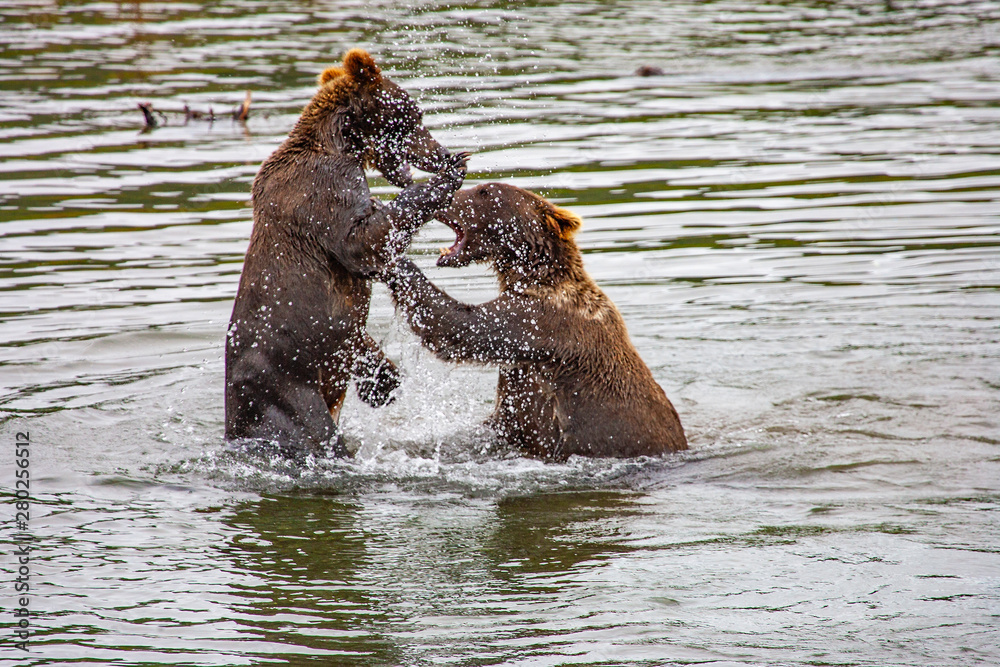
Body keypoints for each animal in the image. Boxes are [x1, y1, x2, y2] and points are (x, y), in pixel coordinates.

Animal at [225, 48, 468, 456]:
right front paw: (447, 177)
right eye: (414, 116)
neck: (342, 144)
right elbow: (359, 243)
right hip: (285, 386)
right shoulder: (324, 191)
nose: (443, 152)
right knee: (314, 431)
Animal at [381, 183, 687, 461]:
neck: (534, 276)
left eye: (484, 191)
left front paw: (393, 256)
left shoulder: (540, 322)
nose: (440, 196)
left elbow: (463, 326)